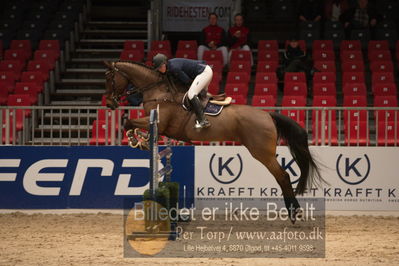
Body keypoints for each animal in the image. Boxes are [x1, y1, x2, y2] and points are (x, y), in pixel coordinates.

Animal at [103, 59, 324, 222]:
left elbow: (129, 122)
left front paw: (136, 139)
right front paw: (140, 139)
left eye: (109, 77)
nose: (109, 103)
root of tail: (268, 115)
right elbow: (136, 126)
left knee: (283, 177)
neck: (159, 91)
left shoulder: (161, 122)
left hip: (262, 153)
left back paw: (295, 213)